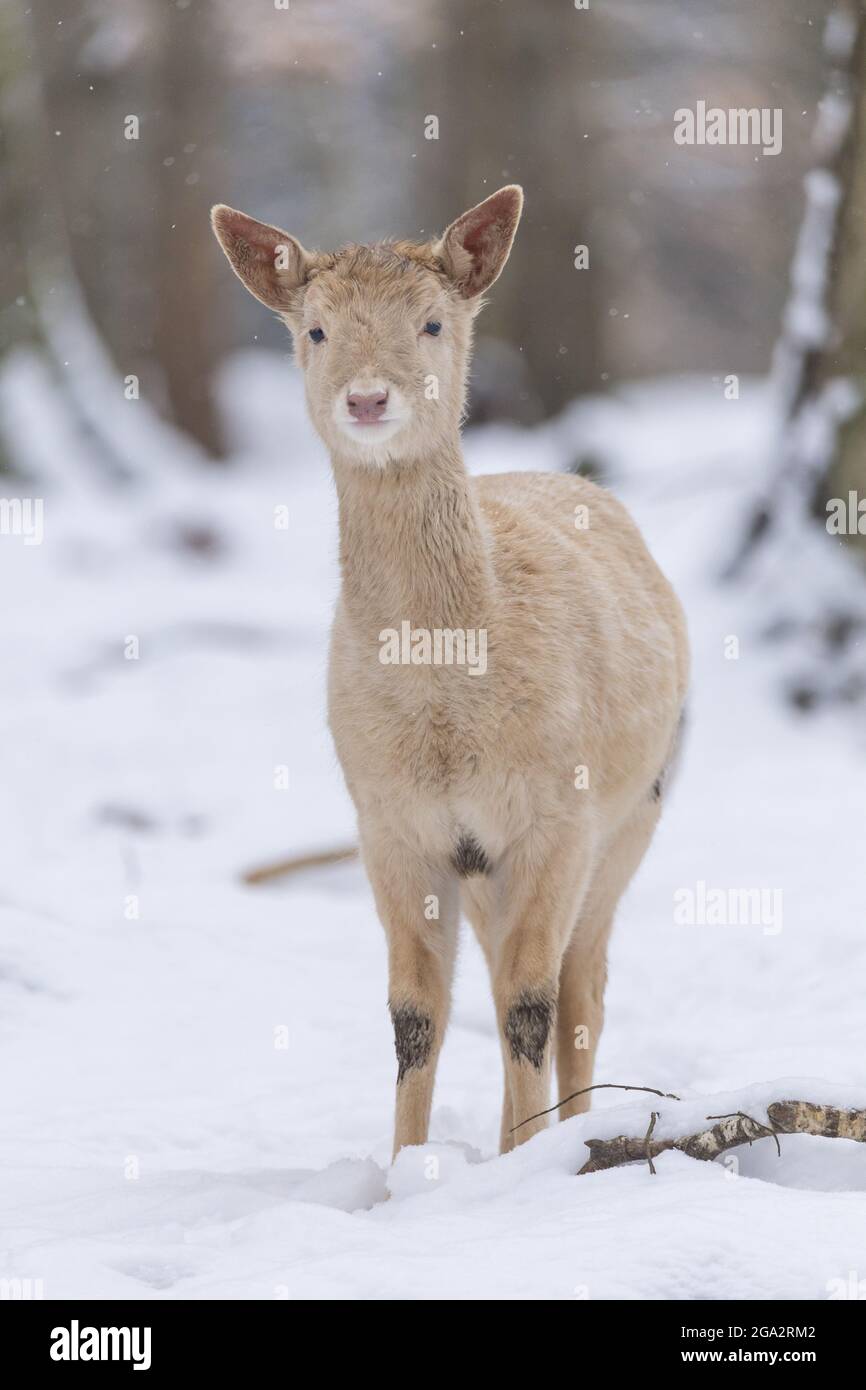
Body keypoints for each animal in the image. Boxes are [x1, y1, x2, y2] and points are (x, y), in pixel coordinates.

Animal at [211, 186, 689, 1159]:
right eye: (315, 330)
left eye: (431, 323)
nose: (367, 397)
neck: (444, 713)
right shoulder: (391, 825)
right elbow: (415, 1012)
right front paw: (406, 1168)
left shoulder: (558, 817)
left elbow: (531, 1005)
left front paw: (524, 1167)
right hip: (486, 869)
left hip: (637, 813)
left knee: (577, 991)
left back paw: (563, 1134)